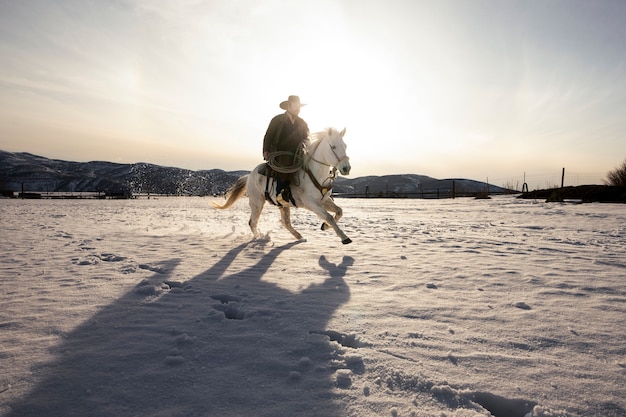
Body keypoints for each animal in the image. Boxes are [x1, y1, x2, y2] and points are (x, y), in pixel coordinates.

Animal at [213, 127, 352, 244]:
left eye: (345, 146)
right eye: (333, 146)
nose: (346, 168)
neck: (314, 174)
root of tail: (249, 177)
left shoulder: (324, 201)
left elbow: (339, 211)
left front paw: (325, 226)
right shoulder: (312, 204)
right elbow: (329, 217)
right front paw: (344, 237)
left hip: (283, 205)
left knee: (285, 223)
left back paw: (299, 237)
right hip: (257, 203)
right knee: (253, 222)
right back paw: (259, 238)